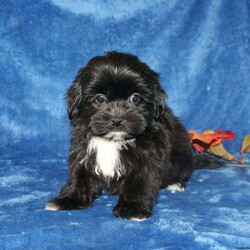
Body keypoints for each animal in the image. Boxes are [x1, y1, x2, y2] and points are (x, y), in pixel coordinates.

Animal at [46, 51, 220, 221]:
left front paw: (132, 208)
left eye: (135, 98)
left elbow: (139, 181)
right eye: (100, 98)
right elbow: (79, 174)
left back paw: (174, 183)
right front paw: (69, 199)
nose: (117, 120)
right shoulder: (83, 152)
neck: (113, 141)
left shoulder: (146, 159)